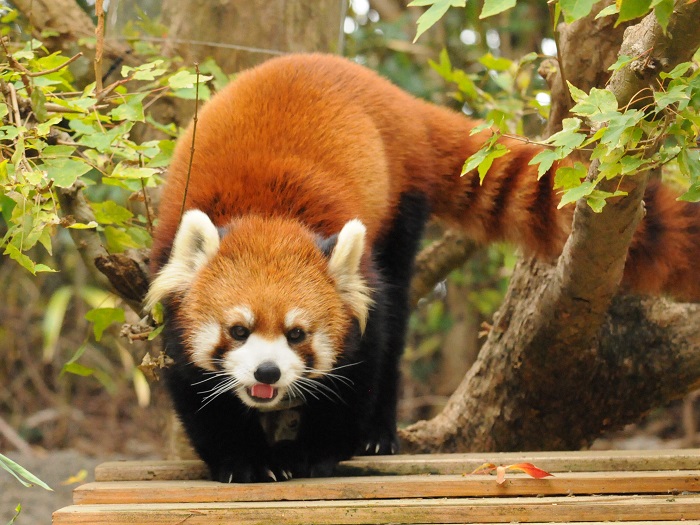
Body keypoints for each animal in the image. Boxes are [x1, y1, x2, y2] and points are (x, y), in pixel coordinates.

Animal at [146, 53, 700, 484]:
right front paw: (245, 460)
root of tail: (394, 98)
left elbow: (365, 359)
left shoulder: (361, 279)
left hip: (399, 205)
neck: (266, 214)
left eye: (297, 334)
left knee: (395, 318)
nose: (268, 372)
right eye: (238, 331)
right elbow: (192, 384)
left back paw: (377, 434)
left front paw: (313, 452)